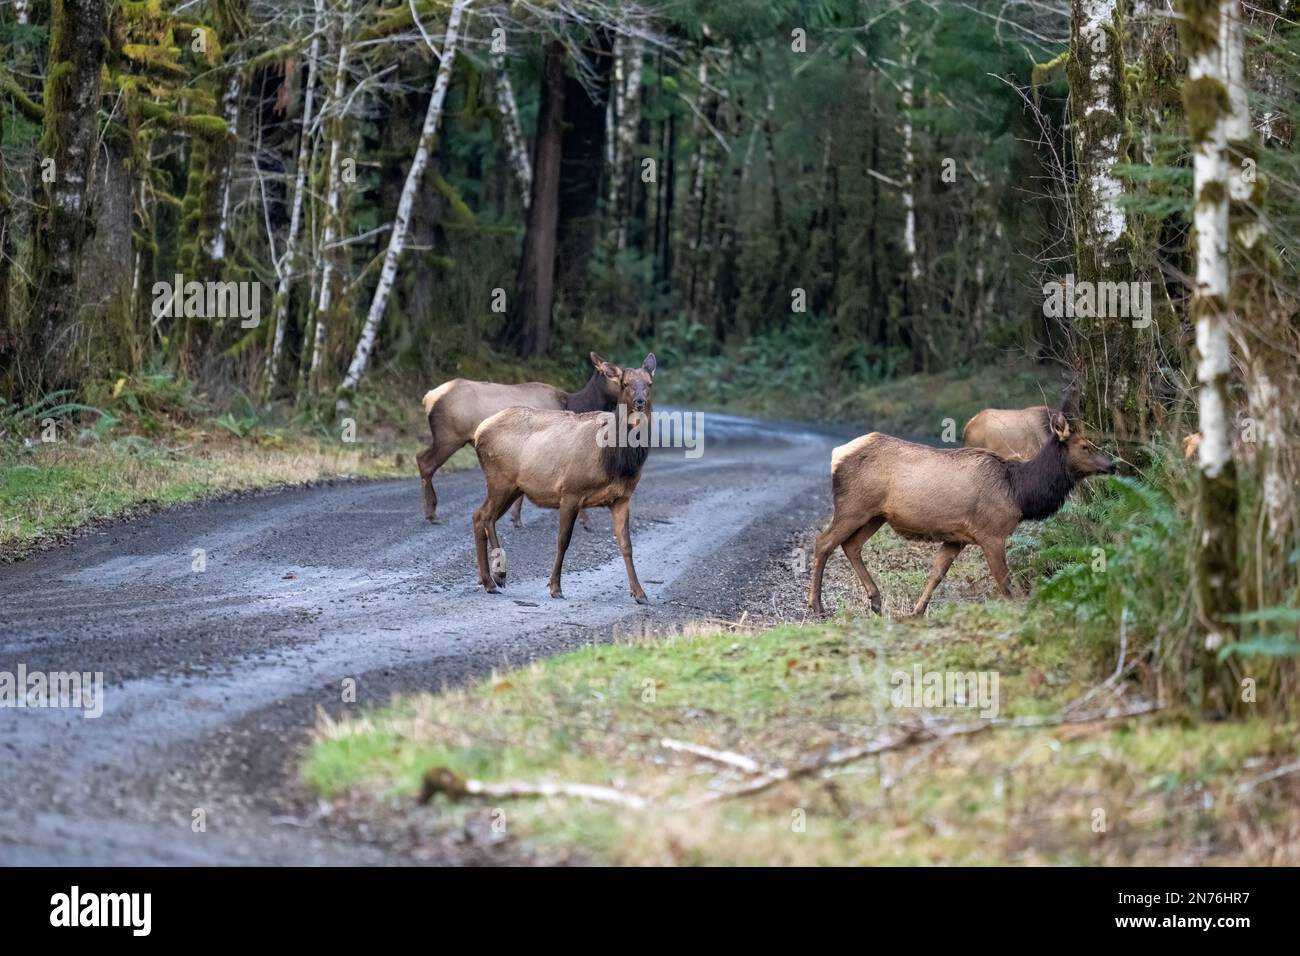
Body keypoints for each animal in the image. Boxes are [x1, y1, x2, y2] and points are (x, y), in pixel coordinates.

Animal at [416, 351, 618, 528]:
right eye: (611, 373)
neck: (573, 403)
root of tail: (427, 398)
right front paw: (586, 522)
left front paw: (516, 518)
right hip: (449, 436)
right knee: (426, 462)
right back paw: (431, 513)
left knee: (420, 458)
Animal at [470, 351, 660, 606]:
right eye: (625, 383)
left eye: (649, 384)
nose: (640, 402)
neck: (613, 461)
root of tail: (478, 431)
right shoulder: (570, 490)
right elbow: (563, 540)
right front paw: (555, 587)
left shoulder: (621, 498)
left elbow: (626, 545)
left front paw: (640, 593)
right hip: (500, 479)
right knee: (484, 516)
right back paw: (498, 575)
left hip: (513, 487)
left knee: (480, 516)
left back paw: (488, 579)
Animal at [806, 413, 1112, 621]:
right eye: (1085, 446)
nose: (1112, 464)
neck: (1020, 493)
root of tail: (837, 453)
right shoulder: (992, 533)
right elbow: (1004, 581)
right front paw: (1018, 612)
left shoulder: (957, 538)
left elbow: (936, 573)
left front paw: (916, 612)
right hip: (853, 506)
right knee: (823, 542)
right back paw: (817, 606)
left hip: (875, 515)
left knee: (851, 545)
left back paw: (876, 601)